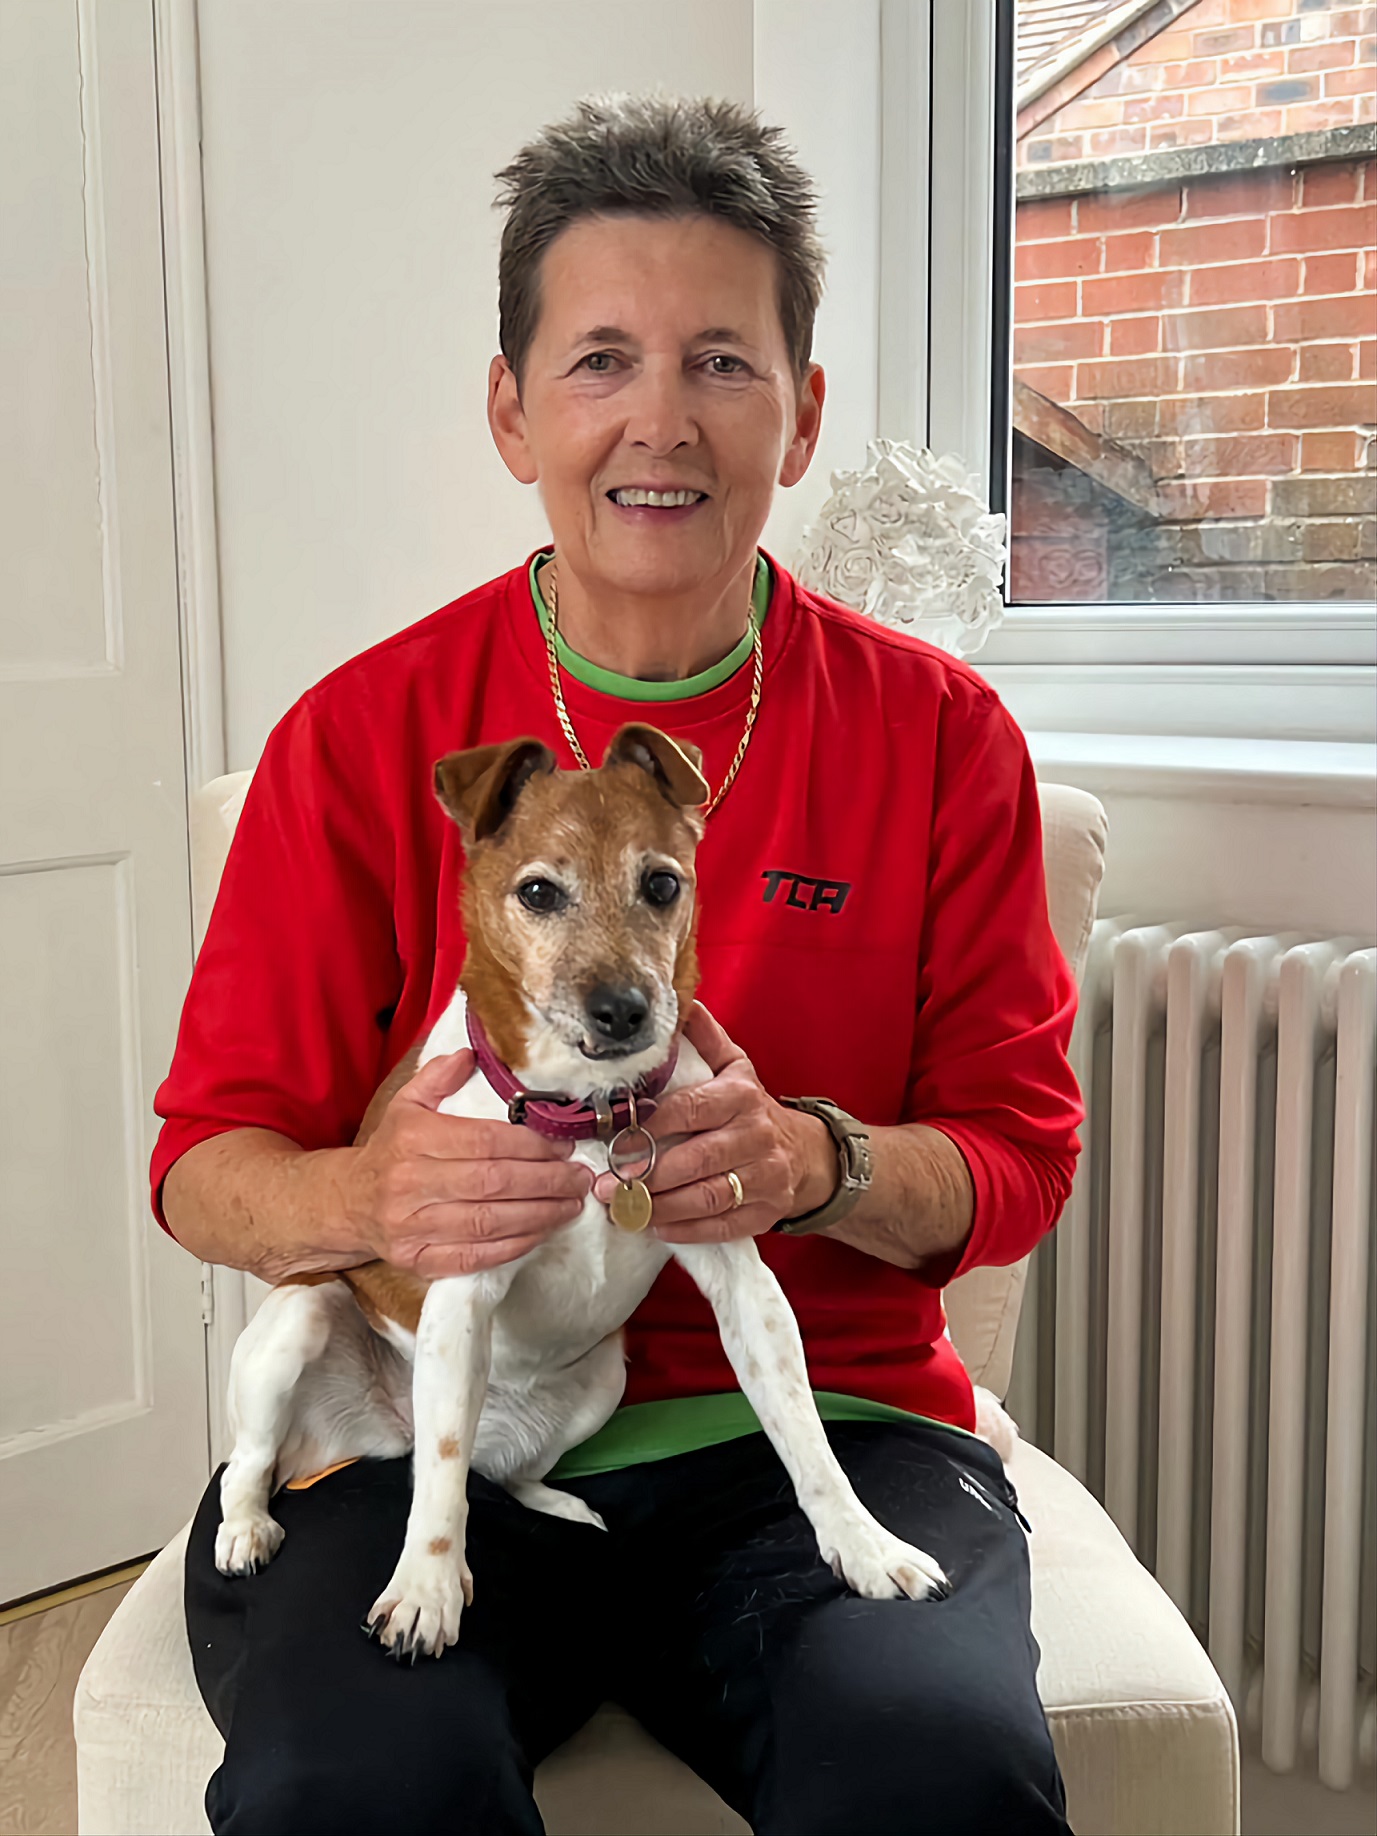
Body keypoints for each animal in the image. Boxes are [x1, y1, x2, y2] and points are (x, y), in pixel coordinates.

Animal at [218, 723, 947, 1659]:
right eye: (538, 891)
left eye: (661, 884)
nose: (624, 1009)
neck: (594, 1119)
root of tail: (388, 1431)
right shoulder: (462, 1290)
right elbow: (440, 1479)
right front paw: (424, 1589)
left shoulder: (743, 1285)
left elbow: (803, 1434)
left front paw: (864, 1546)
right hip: (301, 1321)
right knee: (285, 1460)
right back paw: (247, 1529)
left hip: (603, 1375)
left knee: (494, 1472)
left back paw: (559, 1503)